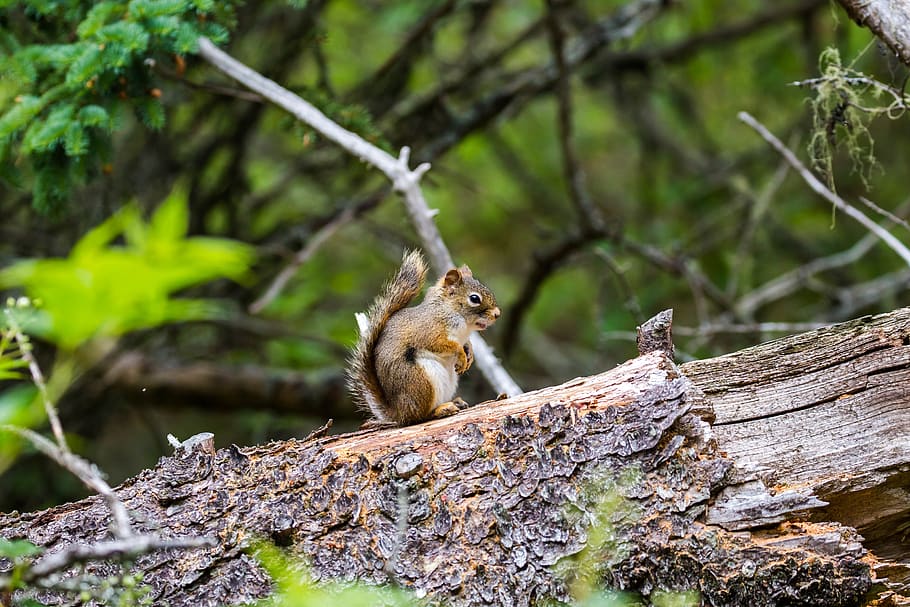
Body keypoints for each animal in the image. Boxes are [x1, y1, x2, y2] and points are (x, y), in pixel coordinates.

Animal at [347, 250, 501, 426]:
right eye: (474, 298)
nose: (497, 314)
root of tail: (398, 413)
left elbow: (467, 344)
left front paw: (469, 355)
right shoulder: (428, 330)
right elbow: (442, 344)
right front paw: (461, 354)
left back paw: (455, 402)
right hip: (421, 382)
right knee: (419, 417)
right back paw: (441, 410)